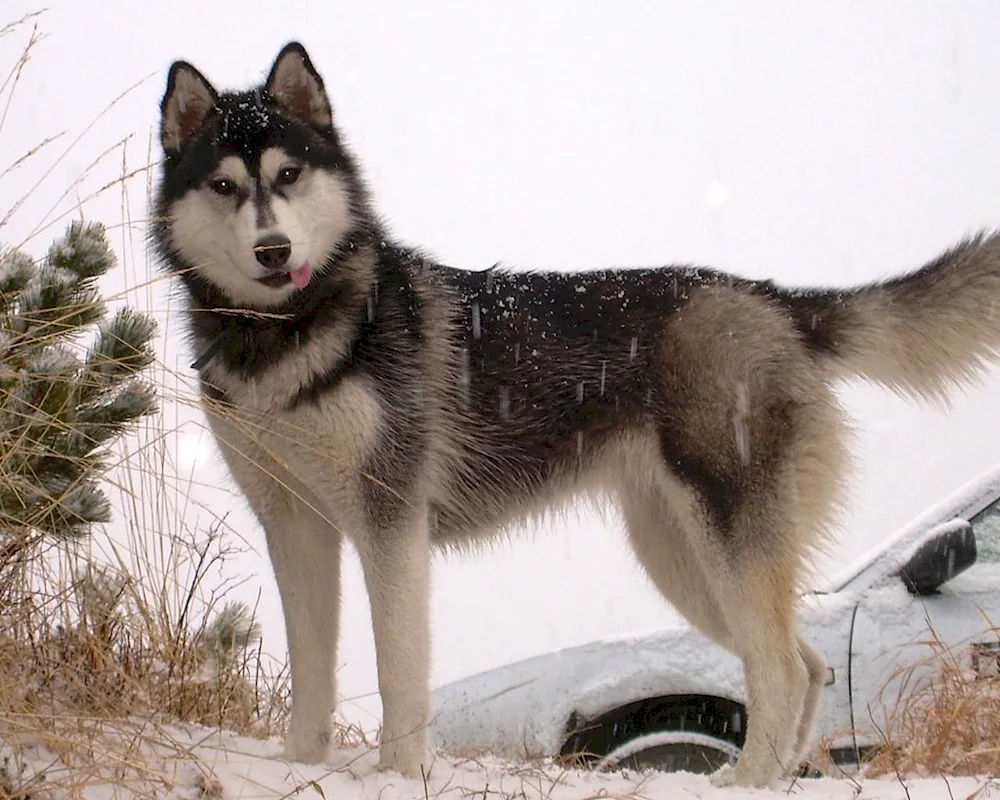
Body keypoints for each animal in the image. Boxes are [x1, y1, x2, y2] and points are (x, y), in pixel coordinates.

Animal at [150, 43, 1000, 788]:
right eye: (224, 186)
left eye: (288, 174)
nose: (272, 249)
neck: (284, 337)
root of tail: (770, 298)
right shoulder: (294, 524)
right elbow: (312, 674)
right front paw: (299, 767)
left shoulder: (391, 521)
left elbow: (399, 673)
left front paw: (397, 776)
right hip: (679, 557)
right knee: (810, 663)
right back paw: (776, 777)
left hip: (725, 540)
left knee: (785, 668)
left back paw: (745, 781)